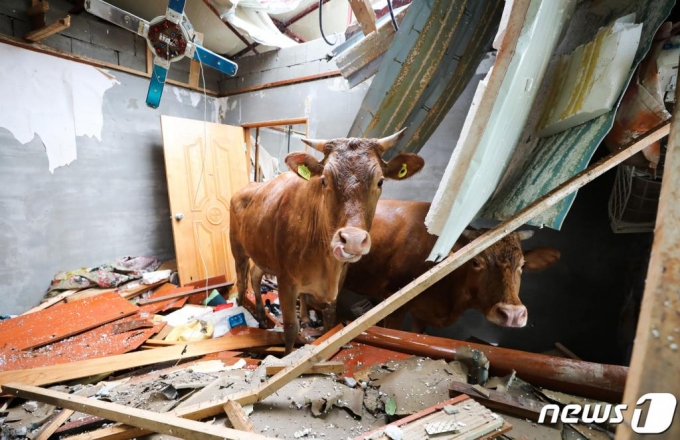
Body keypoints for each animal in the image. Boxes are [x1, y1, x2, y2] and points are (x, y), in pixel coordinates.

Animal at [234, 131, 424, 354]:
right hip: (237, 247)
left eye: (380, 182)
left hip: (262, 254)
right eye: (324, 181)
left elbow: (329, 321)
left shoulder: (337, 282)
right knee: (242, 280)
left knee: (255, 276)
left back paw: (264, 316)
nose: (352, 240)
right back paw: (241, 312)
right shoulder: (286, 281)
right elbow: (290, 327)